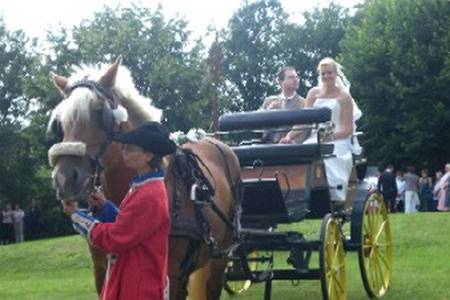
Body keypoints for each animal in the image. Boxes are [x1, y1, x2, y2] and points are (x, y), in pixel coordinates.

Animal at [47, 57, 241, 298]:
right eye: (59, 122)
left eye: (100, 112)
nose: (64, 179)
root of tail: (216, 142)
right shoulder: (101, 271)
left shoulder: (170, 273)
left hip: (220, 257)